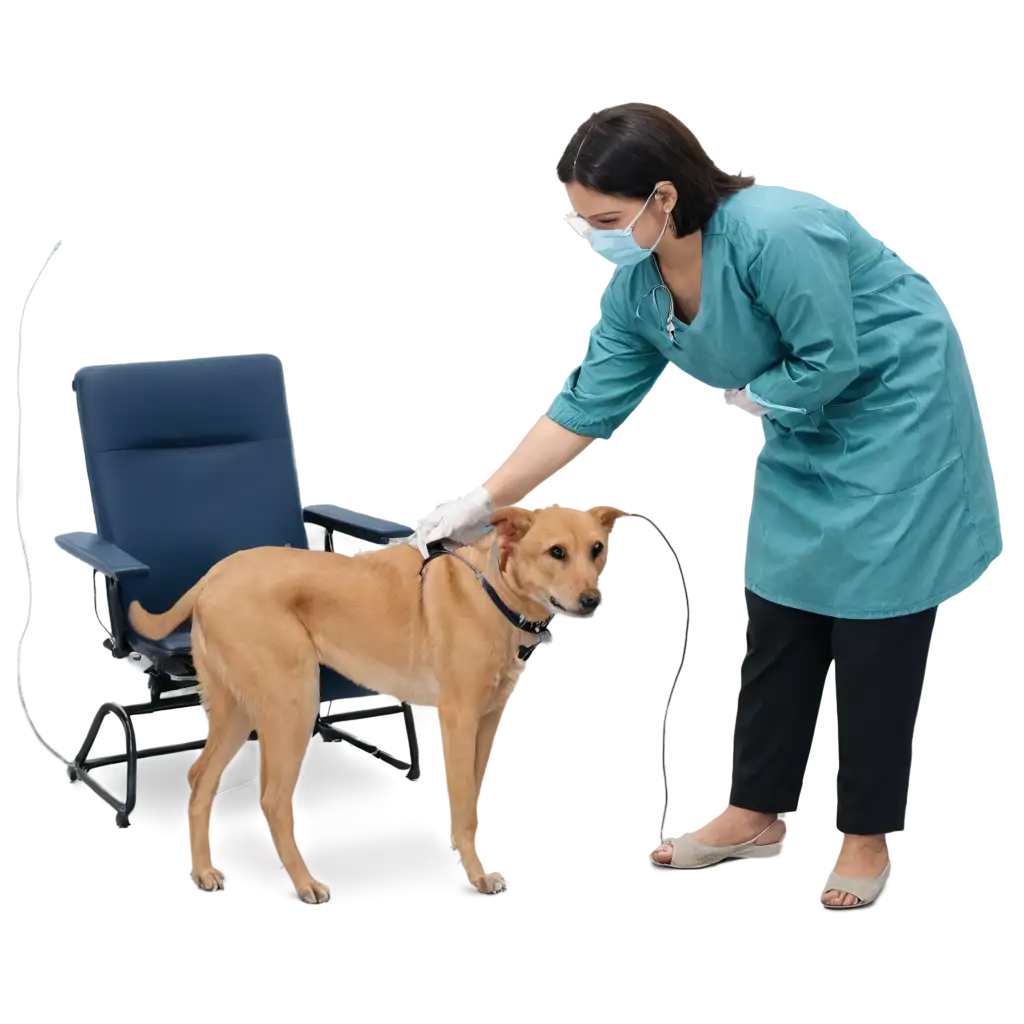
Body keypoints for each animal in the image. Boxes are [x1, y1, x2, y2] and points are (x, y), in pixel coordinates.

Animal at [128, 503, 622, 905]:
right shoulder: (461, 720)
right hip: (292, 706)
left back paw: (203, 871)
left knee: (200, 781)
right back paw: (303, 883)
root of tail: (215, 574)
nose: (593, 600)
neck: (493, 592)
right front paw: (477, 875)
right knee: (271, 800)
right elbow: (464, 803)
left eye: (596, 549)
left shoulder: (487, 723)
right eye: (556, 552)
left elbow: (471, 801)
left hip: (237, 712)